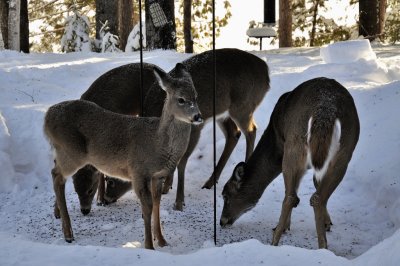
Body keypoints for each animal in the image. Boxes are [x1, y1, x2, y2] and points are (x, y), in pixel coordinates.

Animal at [43, 64, 203, 249]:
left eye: (196, 96)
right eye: (181, 99)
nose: (198, 116)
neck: (157, 142)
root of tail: (47, 117)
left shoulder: (157, 176)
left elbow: (157, 203)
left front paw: (162, 240)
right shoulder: (138, 171)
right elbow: (147, 207)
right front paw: (149, 245)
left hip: (64, 151)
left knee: (56, 173)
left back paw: (60, 217)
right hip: (73, 152)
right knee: (56, 175)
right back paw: (68, 234)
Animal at [73, 47, 270, 211]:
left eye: (113, 180)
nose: (106, 198)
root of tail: (266, 74)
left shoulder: (194, 130)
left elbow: (181, 161)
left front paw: (178, 201)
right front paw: (166, 186)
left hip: (243, 105)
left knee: (251, 130)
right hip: (224, 112)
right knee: (234, 133)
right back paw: (210, 182)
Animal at [220, 77, 360, 249]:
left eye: (225, 195)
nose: (222, 221)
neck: (275, 143)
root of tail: (325, 114)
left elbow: (295, 191)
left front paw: (285, 226)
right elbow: (313, 184)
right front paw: (327, 223)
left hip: (294, 145)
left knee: (291, 197)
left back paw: (274, 241)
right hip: (344, 150)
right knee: (316, 197)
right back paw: (323, 246)